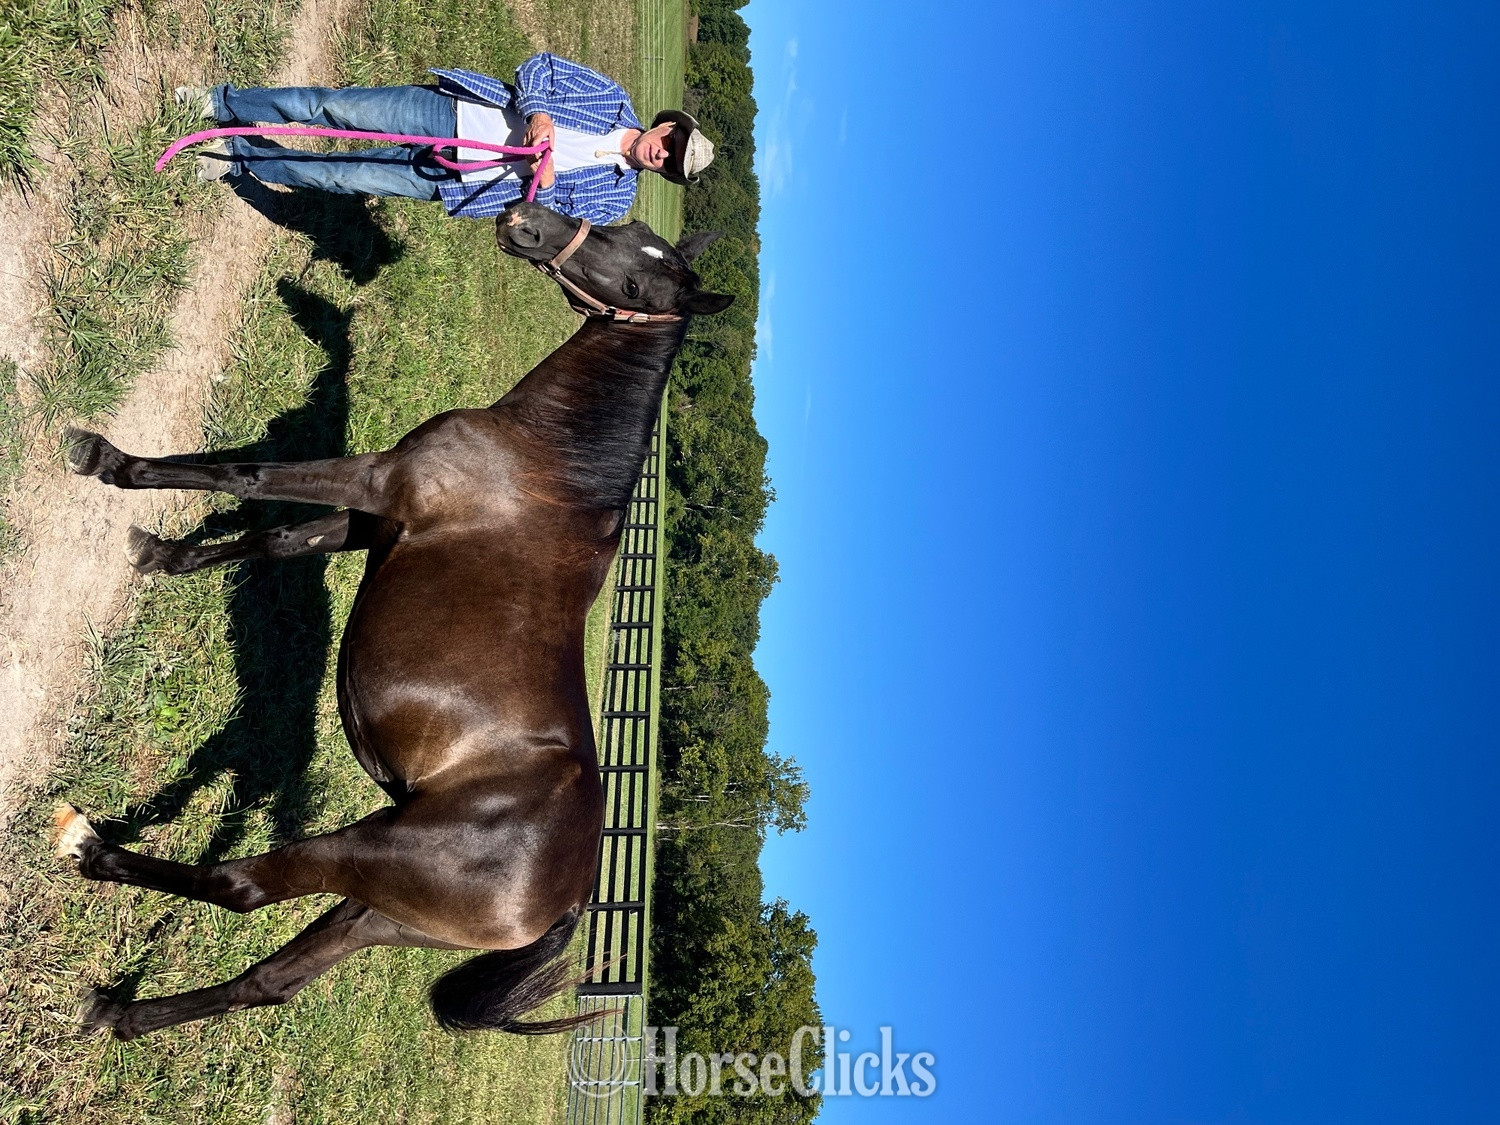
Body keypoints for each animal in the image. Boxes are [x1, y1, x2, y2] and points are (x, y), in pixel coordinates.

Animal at [52, 202, 733, 1040]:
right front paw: (162, 554)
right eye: (627, 229)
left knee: (242, 887)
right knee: (269, 981)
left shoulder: (375, 481)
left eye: (639, 285)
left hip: (365, 852)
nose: (527, 221)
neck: (547, 457)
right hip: (384, 911)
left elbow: (246, 473)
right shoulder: (371, 524)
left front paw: (110, 461)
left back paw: (90, 848)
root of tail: (571, 900)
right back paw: (119, 1012)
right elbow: (276, 539)